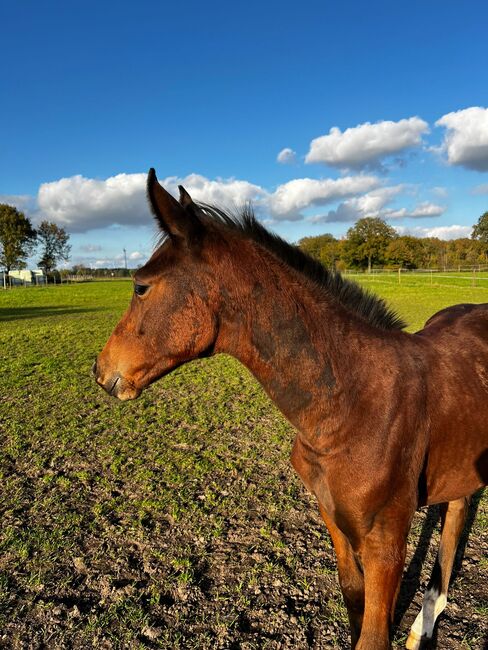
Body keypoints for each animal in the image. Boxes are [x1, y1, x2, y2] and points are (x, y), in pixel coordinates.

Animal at [93, 168, 486, 648]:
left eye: (140, 286)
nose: (100, 370)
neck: (351, 405)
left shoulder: (386, 543)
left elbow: (373, 635)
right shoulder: (335, 522)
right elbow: (354, 607)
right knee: (457, 511)